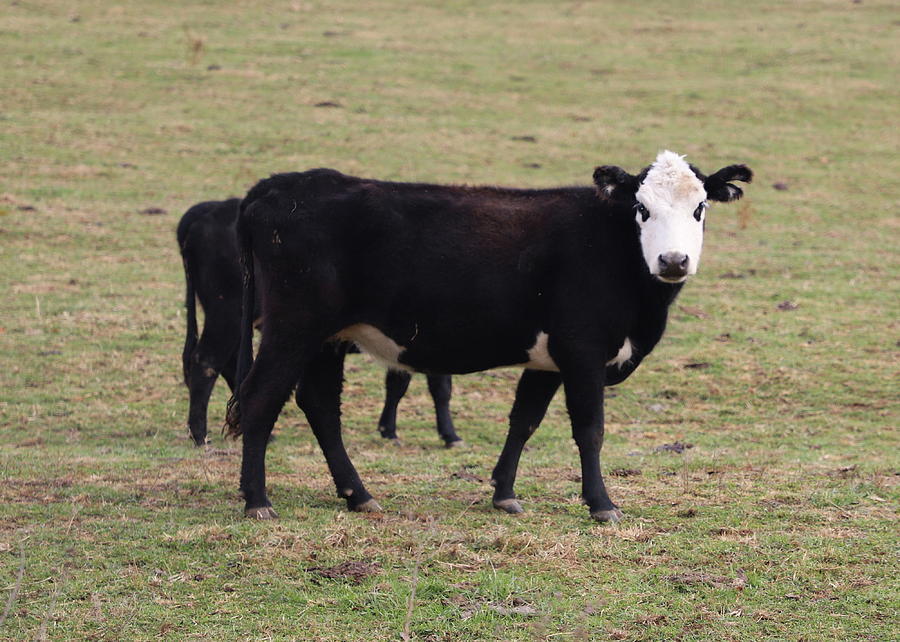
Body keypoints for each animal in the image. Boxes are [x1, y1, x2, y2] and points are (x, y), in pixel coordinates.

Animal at [177, 199, 460, 444]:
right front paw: (449, 435)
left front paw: (388, 429)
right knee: (206, 363)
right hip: (226, 313)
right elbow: (437, 387)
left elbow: (399, 383)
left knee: (230, 366)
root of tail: (210, 208)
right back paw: (200, 435)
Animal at [225, 151, 752, 520]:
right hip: (293, 328)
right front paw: (602, 504)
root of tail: (279, 185)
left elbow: (523, 422)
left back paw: (359, 496)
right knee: (260, 400)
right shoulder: (583, 352)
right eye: (642, 208)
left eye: (700, 208)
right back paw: (258, 501)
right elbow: (590, 430)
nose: (673, 261)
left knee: (319, 407)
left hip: (327, 339)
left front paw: (504, 494)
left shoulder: (547, 360)